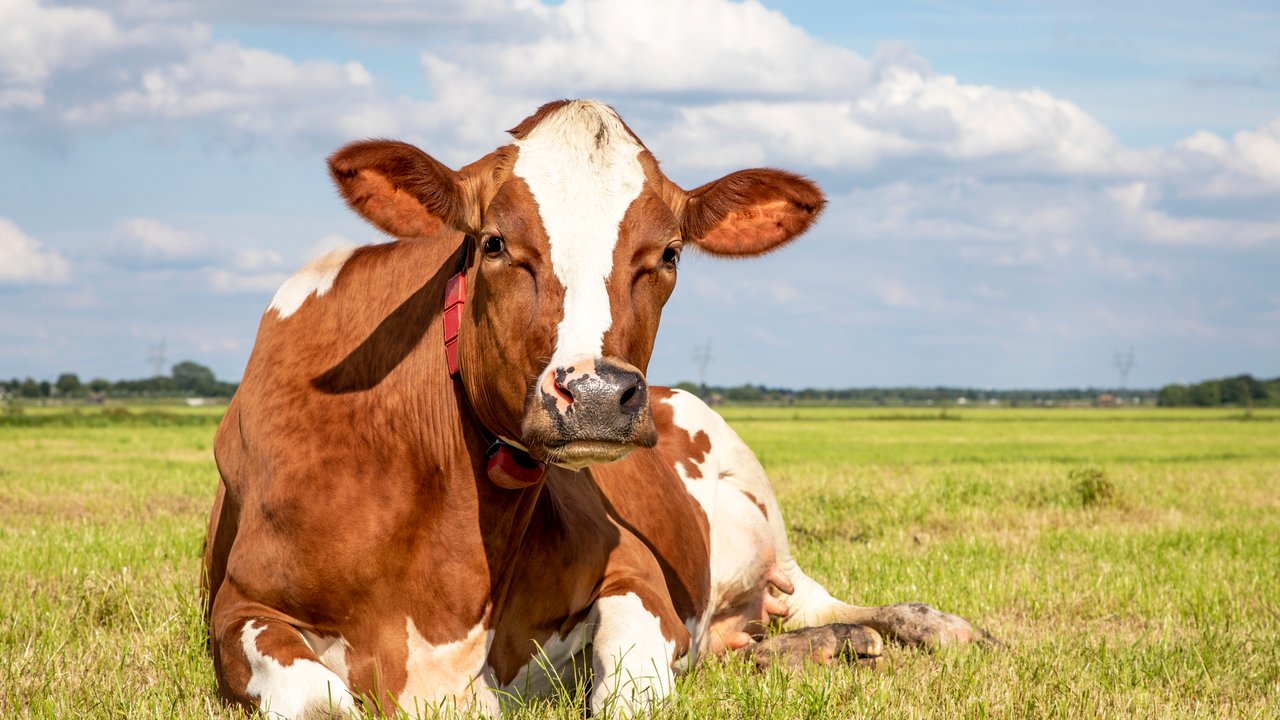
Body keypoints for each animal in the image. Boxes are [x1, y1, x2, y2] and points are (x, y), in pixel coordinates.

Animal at [202, 101, 988, 717]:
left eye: (669, 254)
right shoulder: (239, 608)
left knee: (819, 598)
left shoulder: (635, 572)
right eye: (494, 243)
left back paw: (932, 627)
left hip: (766, 522)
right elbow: (317, 699)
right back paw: (829, 647)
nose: (599, 396)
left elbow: (631, 689)